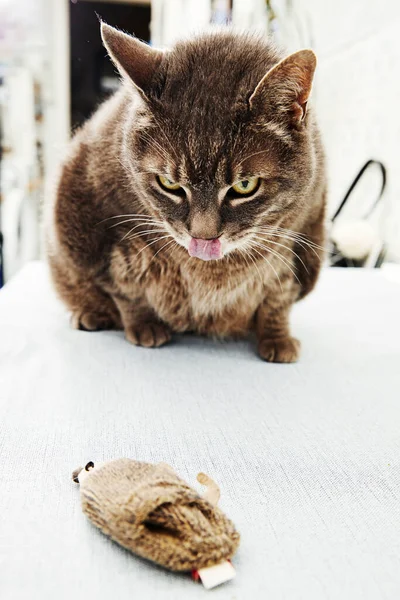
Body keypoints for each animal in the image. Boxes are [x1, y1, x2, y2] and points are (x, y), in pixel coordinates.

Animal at [46, 22, 328, 360]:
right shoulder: (100, 230)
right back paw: (90, 315)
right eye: (169, 184)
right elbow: (125, 288)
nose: (203, 237)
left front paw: (277, 338)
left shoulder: (300, 242)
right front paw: (144, 325)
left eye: (245, 186)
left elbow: (279, 295)